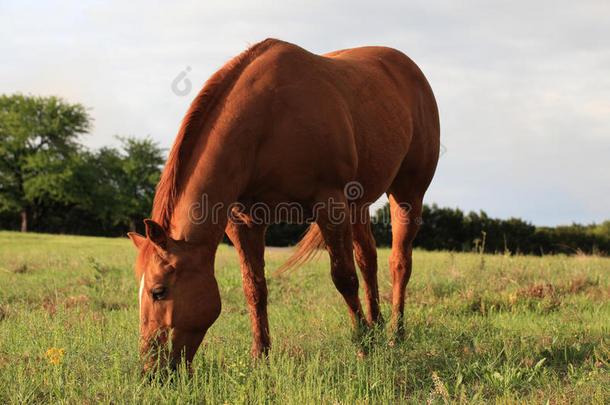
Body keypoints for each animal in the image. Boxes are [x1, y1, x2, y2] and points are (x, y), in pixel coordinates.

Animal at [127, 38, 436, 370]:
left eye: (159, 291)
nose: (150, 370)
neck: (268, 123)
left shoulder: (330, 206)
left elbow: (344, 277)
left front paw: (363, 344)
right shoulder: (244, 223)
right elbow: (254, 287)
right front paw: (259, 355)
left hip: (406, 195)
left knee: (399, 262)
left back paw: (394, 334)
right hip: (359, 203)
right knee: (368, 258)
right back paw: (377, 324)